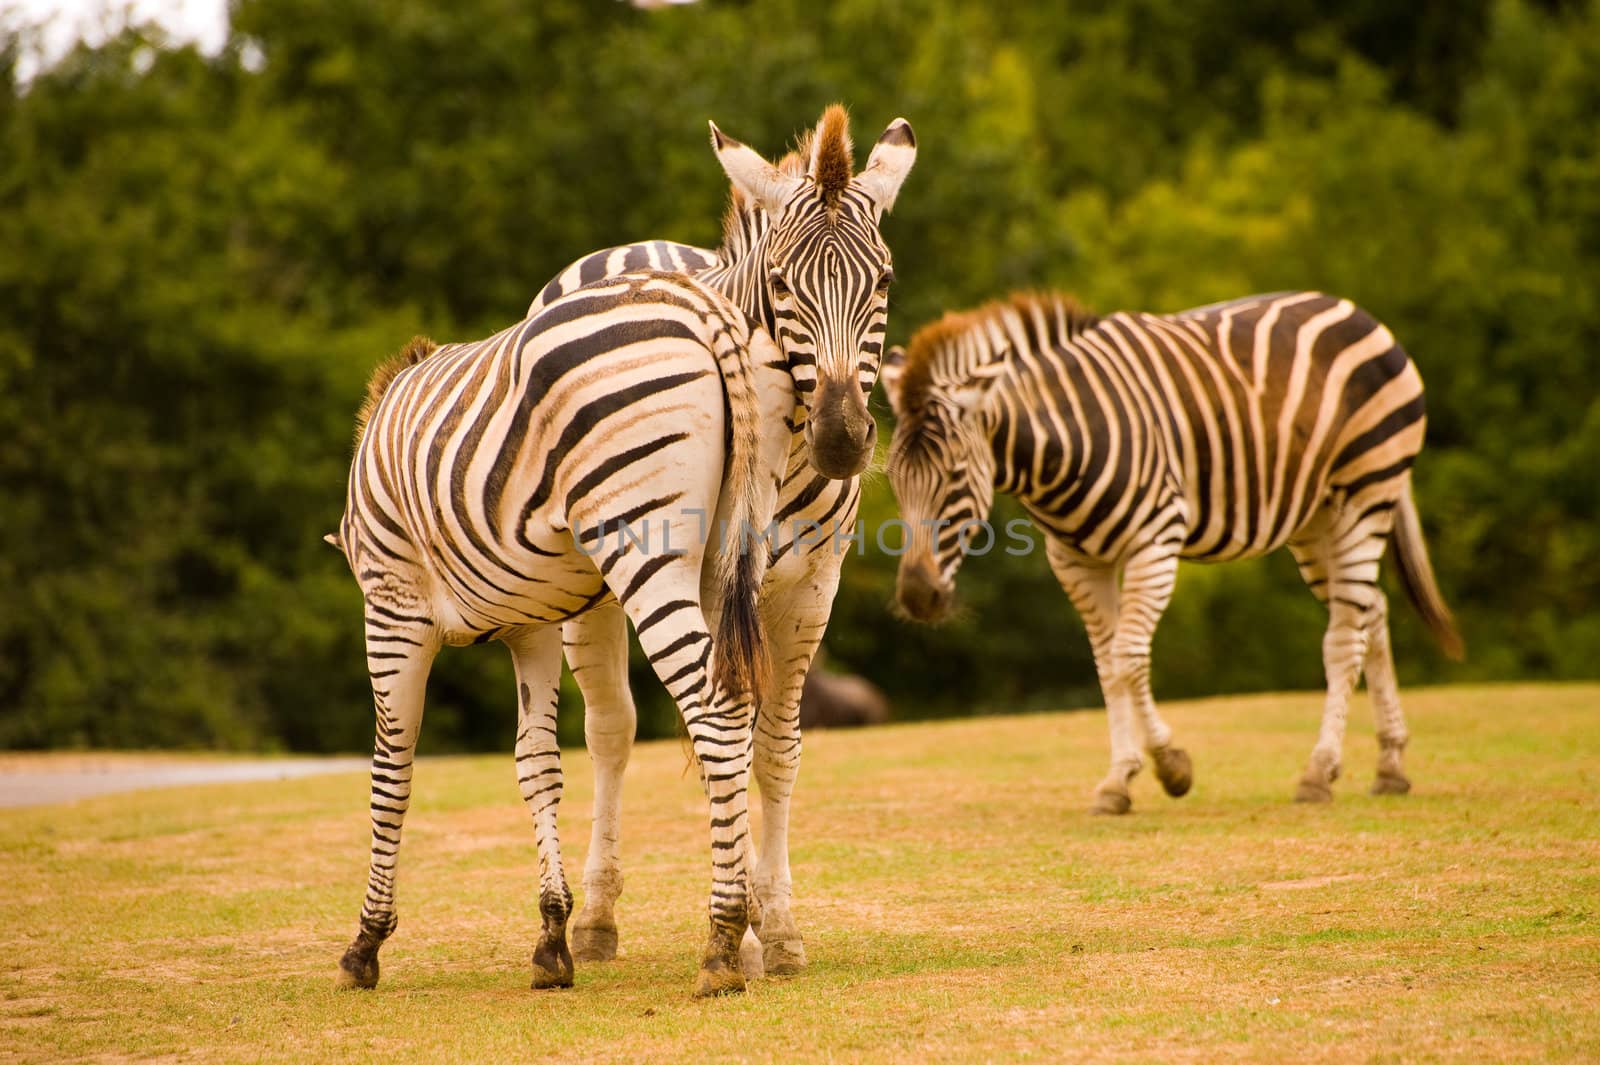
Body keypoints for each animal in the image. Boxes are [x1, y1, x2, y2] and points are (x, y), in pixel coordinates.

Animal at [326, 267, 800, 997]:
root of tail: (699, 305)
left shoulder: (392, 607)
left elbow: (390, 772)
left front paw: (366, 942)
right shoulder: (531, 626)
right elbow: (537, 765)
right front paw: (552, 937)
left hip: (641, 538)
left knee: (718, 714)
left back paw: (721, 943)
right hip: (742, 536)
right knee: (741, 716)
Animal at [528, 105, 915, 972]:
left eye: (881, 282)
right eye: (781, 285)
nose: (843, 439)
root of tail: (634, 249)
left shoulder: (812, 588)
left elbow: (775, 746)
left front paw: (778, 924)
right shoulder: (713, 582)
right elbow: (722, 736)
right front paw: (742, 930)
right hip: (597, 584)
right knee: (611, 730)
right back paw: (595, 916)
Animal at [883, 286, 1465, 809]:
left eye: (956, 475)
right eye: (892, 479)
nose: (916, 597)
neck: (1064, 442)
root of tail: (1356, 311)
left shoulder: (1154, 542)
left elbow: (1128, 658)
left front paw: (1170, 767)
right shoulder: (1075, 561)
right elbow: (1105, 665)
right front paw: (1119, 779)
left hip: (1365, 495)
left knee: (1343, 639)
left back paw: (1318, 772)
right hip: (1315, 520)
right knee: (1372, 614)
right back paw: (1390, 766)